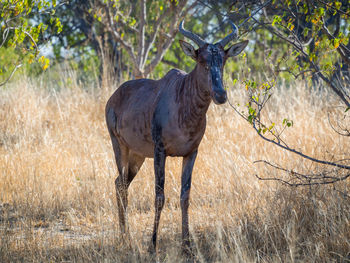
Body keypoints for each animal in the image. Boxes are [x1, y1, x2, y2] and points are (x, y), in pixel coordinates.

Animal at [105, 20, 247, 254]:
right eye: (201, 60)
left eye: (223, 60)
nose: (220, 95)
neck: (183, 100)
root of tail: (114, 96)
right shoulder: (160, 151)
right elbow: (159, 197)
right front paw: (152, 246)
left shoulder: (191, 153)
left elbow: (185, 197)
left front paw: (187, 246)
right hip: (120, 147)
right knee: (122, 185)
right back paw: (126, 239)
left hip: (138, 156)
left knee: (119, 183)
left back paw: (125, 237)